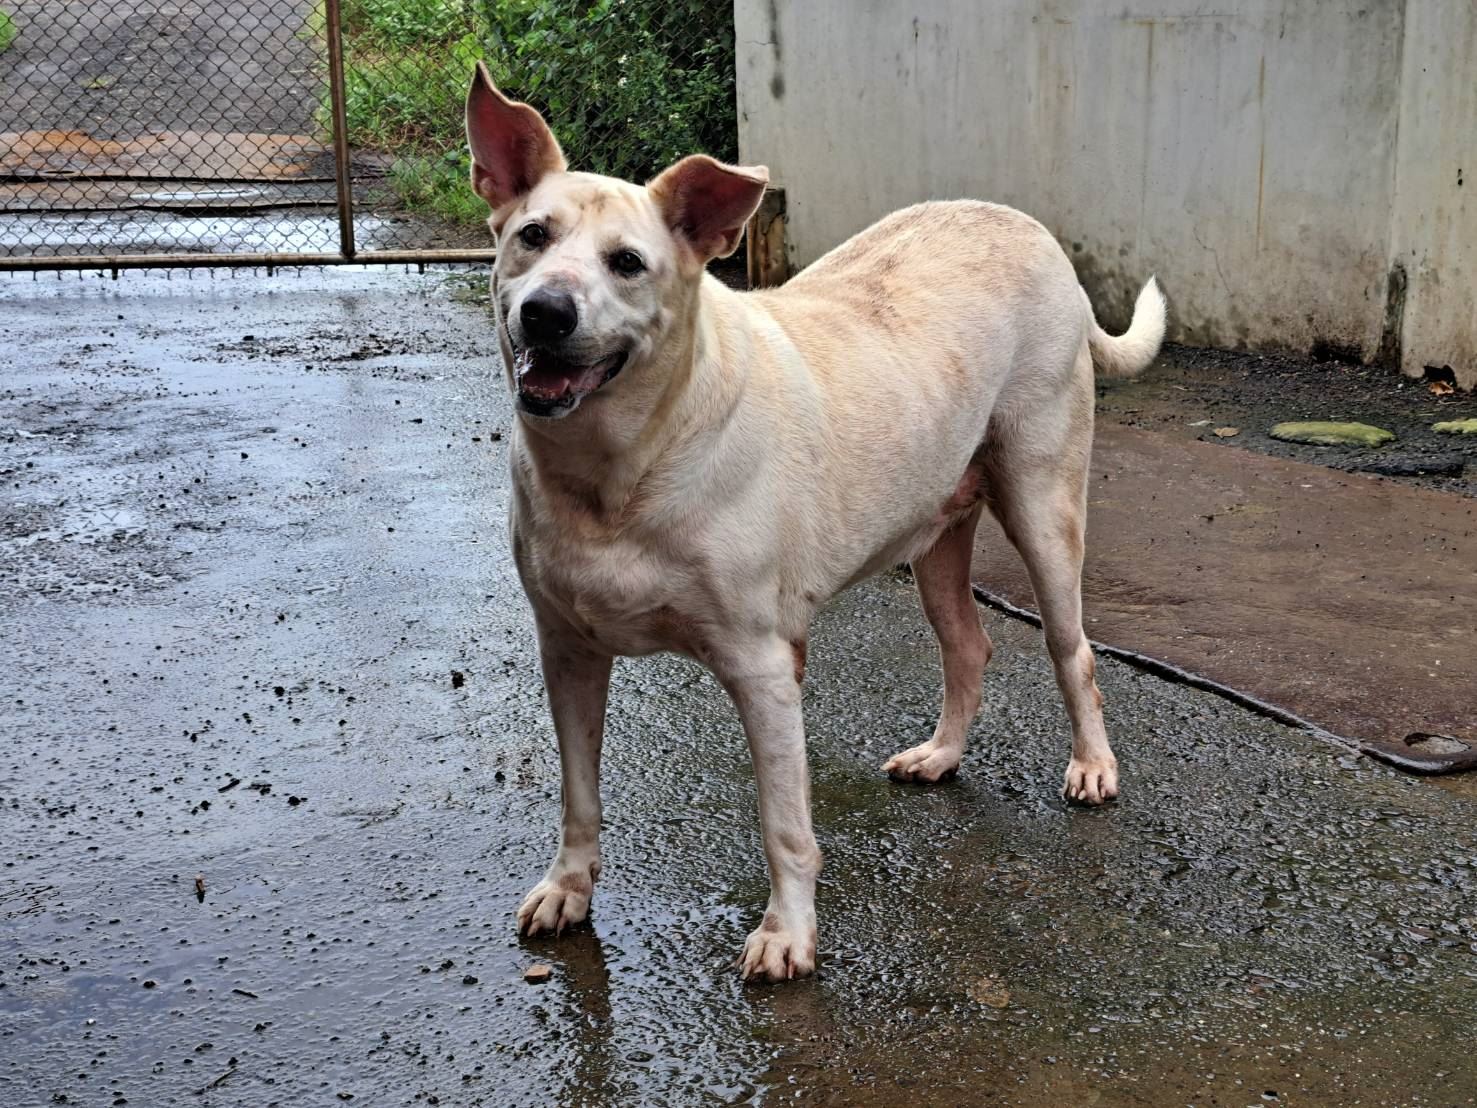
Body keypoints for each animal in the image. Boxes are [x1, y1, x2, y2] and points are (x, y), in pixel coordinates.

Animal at [464, 61, 1166, 982]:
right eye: (531, 237)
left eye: (627, 264)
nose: (545, 313)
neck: (625, 468)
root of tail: (1028, 228)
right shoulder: (568, 653)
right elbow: (578, 794)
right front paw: (567, 890)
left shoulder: (764, 667)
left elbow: (784, 826)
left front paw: (787, 934)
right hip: (935, 531)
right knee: (967, 645)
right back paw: (940, 756)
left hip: (1043, 504)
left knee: (1070, 650)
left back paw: (1091, 767)